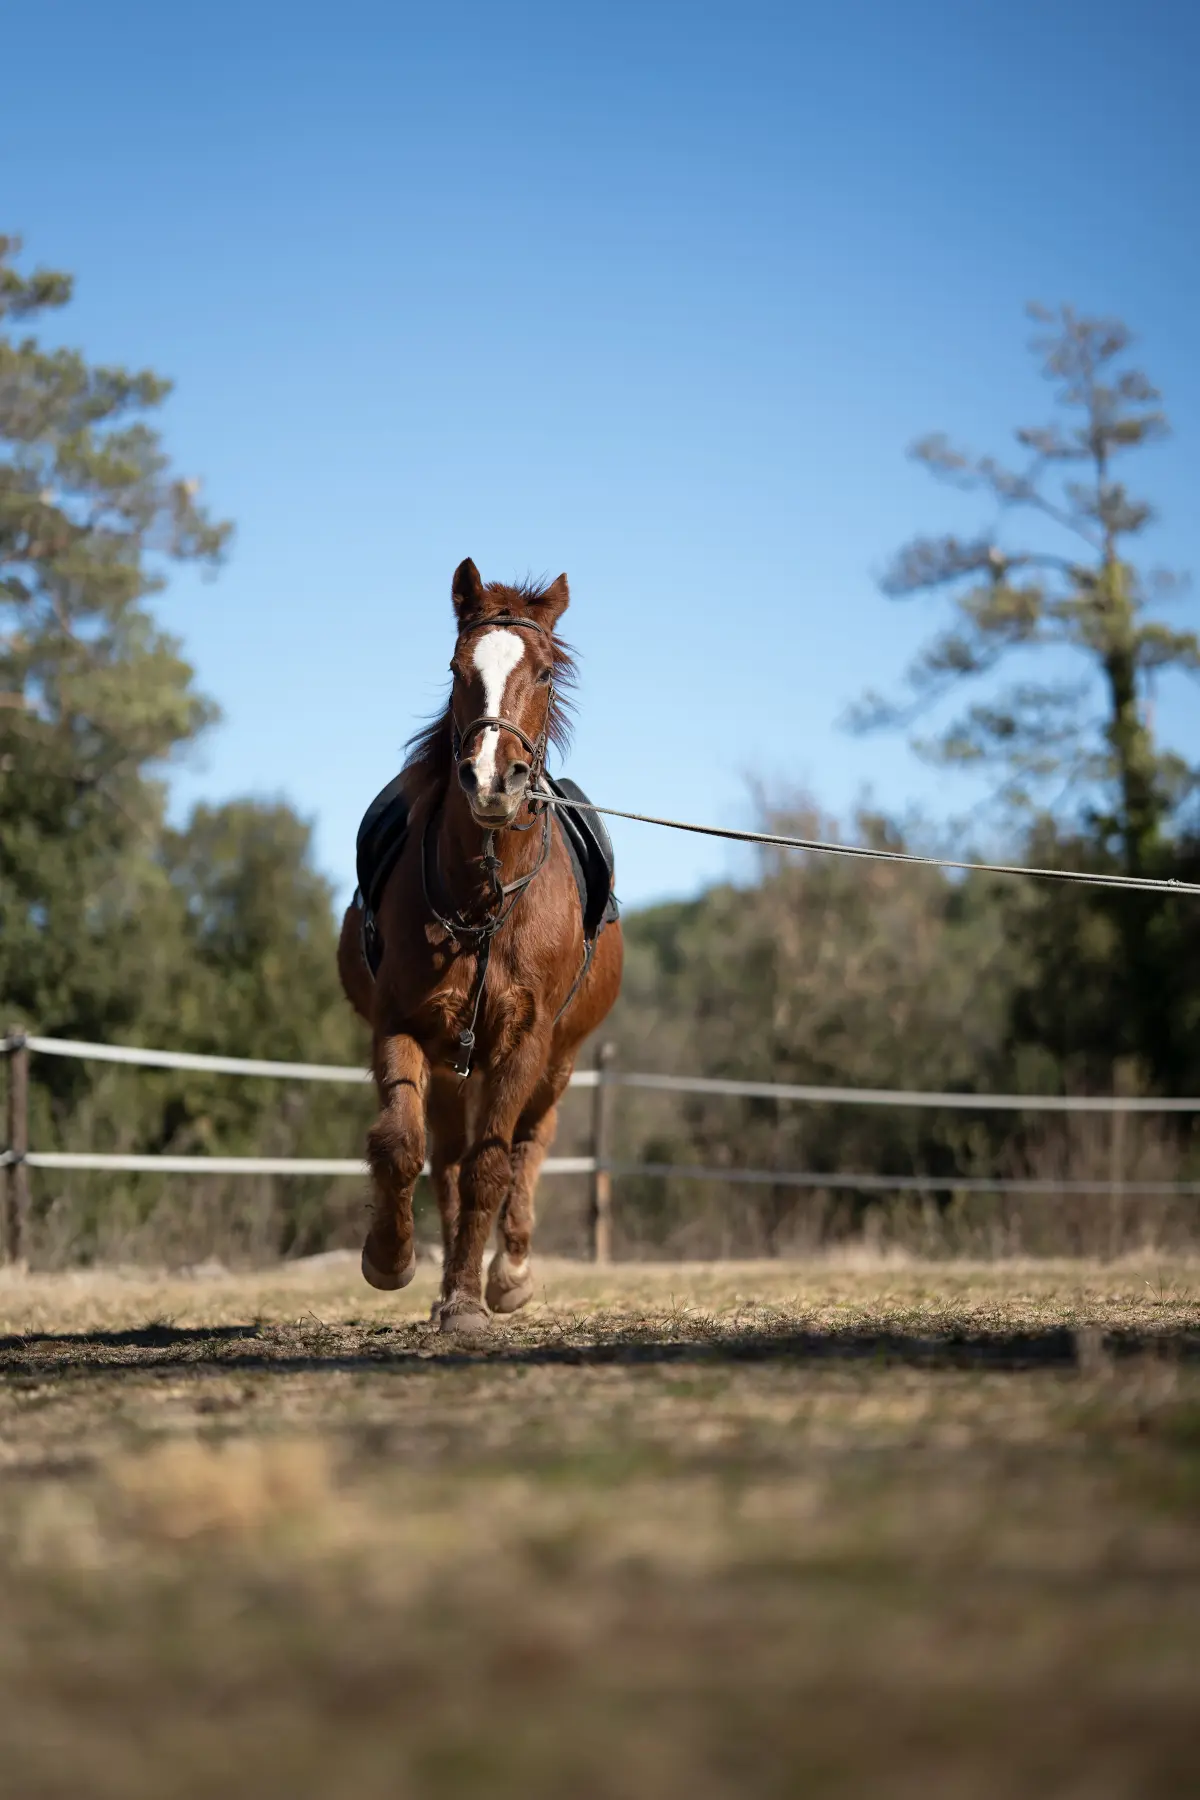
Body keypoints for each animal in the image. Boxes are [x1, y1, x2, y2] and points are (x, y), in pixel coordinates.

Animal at [337, 558, 623, 1335]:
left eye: (546, 672)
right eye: (457, 667)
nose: (494, 780)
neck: (483, 899)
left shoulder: (524, 1043)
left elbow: (494, 1166)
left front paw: (470, 1298)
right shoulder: (403, 1025)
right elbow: (403, 1146)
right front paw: (391, 1260)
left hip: (558, 1061)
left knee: (528, 1147)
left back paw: (511, 1271)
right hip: (448, 1063)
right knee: (443, 1159)